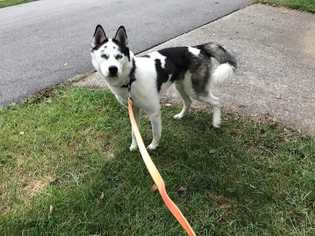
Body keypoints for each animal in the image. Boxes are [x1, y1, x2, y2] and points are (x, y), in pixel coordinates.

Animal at [89, 25, 237, 151]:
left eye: (119, 56)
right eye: (104, 56)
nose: (113, 69)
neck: (132, 77)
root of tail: (198, 47)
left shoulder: (154, 112)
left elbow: (156, 132)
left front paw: (153, 146)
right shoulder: (133, 110)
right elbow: (134, 131)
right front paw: (135, 146)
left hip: (195, 90)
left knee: (217, 101)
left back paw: (216, 122)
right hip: (181, 86)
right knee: (188, 102)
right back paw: (181, 115)